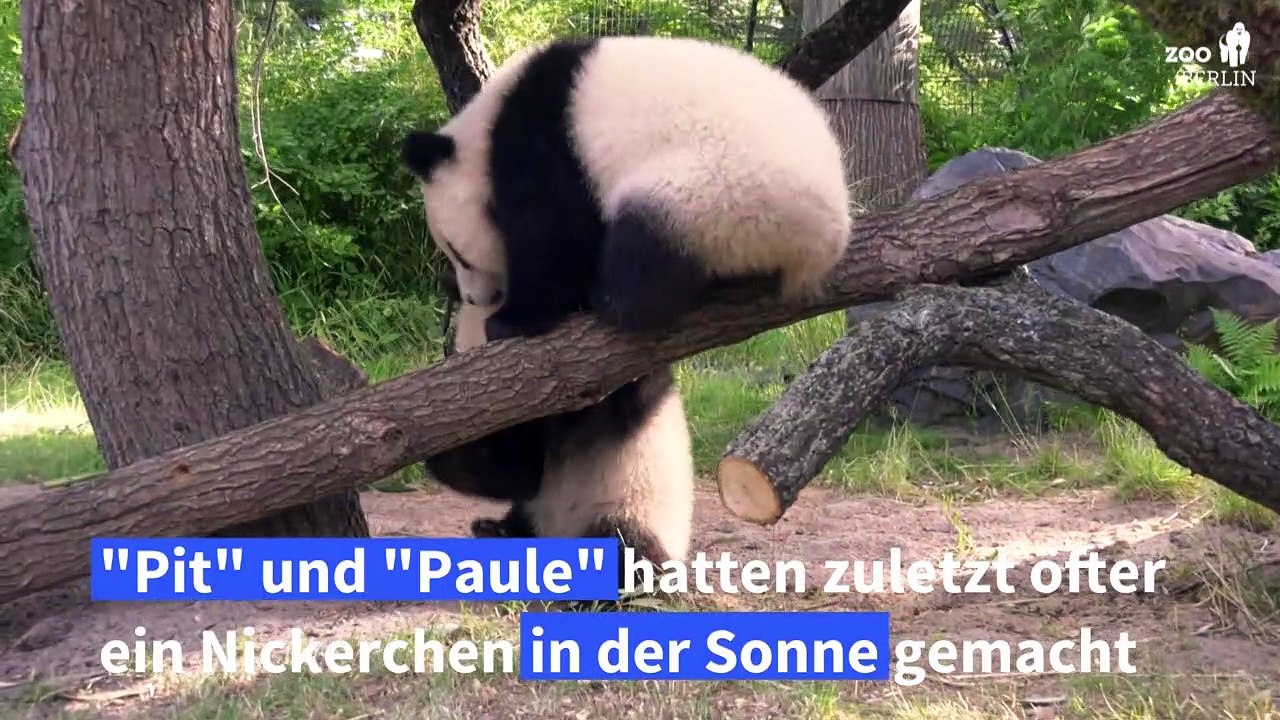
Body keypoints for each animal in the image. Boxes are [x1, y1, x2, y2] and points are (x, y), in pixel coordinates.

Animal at [403, 35, 852, 581]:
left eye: (458, 251)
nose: (474, 298)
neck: (485, 129)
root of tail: (827, 236)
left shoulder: (543, 145)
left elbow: (553, 237)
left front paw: (514, 321)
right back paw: (499, 530)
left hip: (720, 192)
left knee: (643, 244)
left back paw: (614, 300)